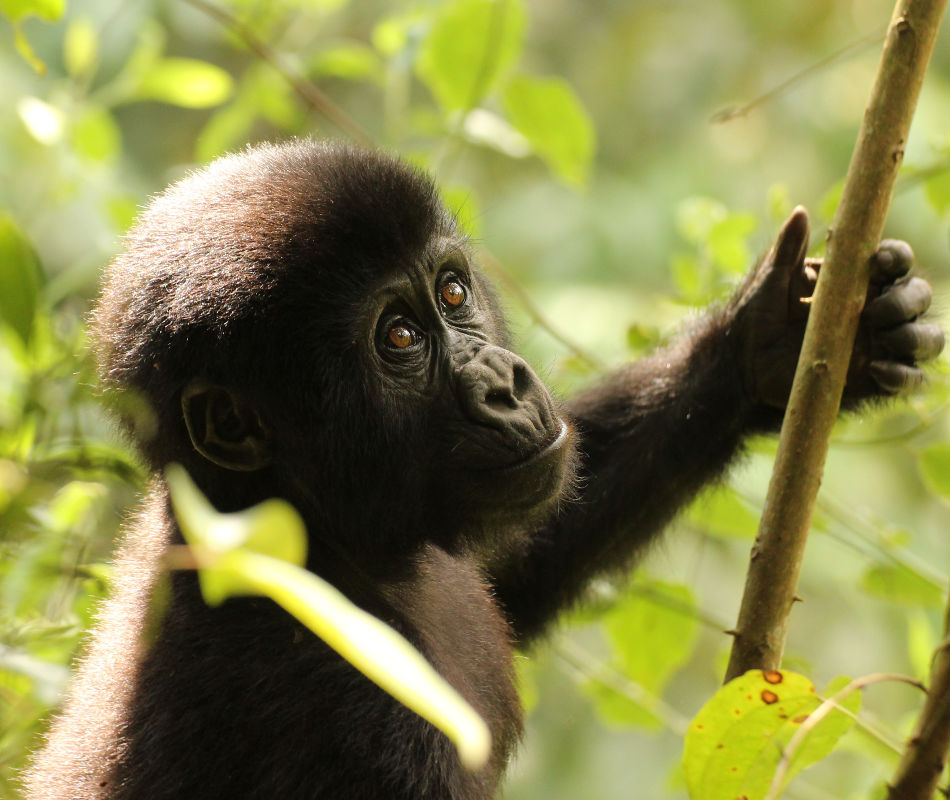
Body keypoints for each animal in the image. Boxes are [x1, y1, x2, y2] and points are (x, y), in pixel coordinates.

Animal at [22, 141, 944, 796]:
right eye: (399, 337)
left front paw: (770, 344)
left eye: (453, 293)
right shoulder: (355, 721)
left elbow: (519, 570)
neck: (313, 538)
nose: (504, 385)